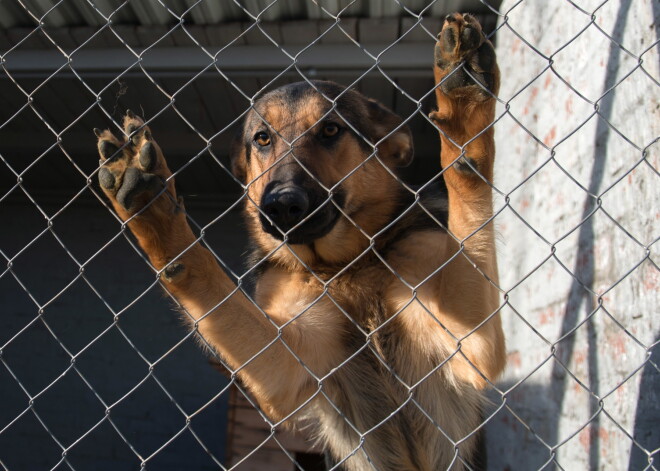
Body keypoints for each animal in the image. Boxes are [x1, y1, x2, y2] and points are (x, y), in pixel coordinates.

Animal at [93, 12, 506, 470]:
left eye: (330, 130)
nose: (281, 206)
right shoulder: (285, 364)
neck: (346, 265)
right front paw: (154, 211)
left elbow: (466, 175)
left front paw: (465, 107)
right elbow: (203, 278)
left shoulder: (470, 344)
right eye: (262, 138)